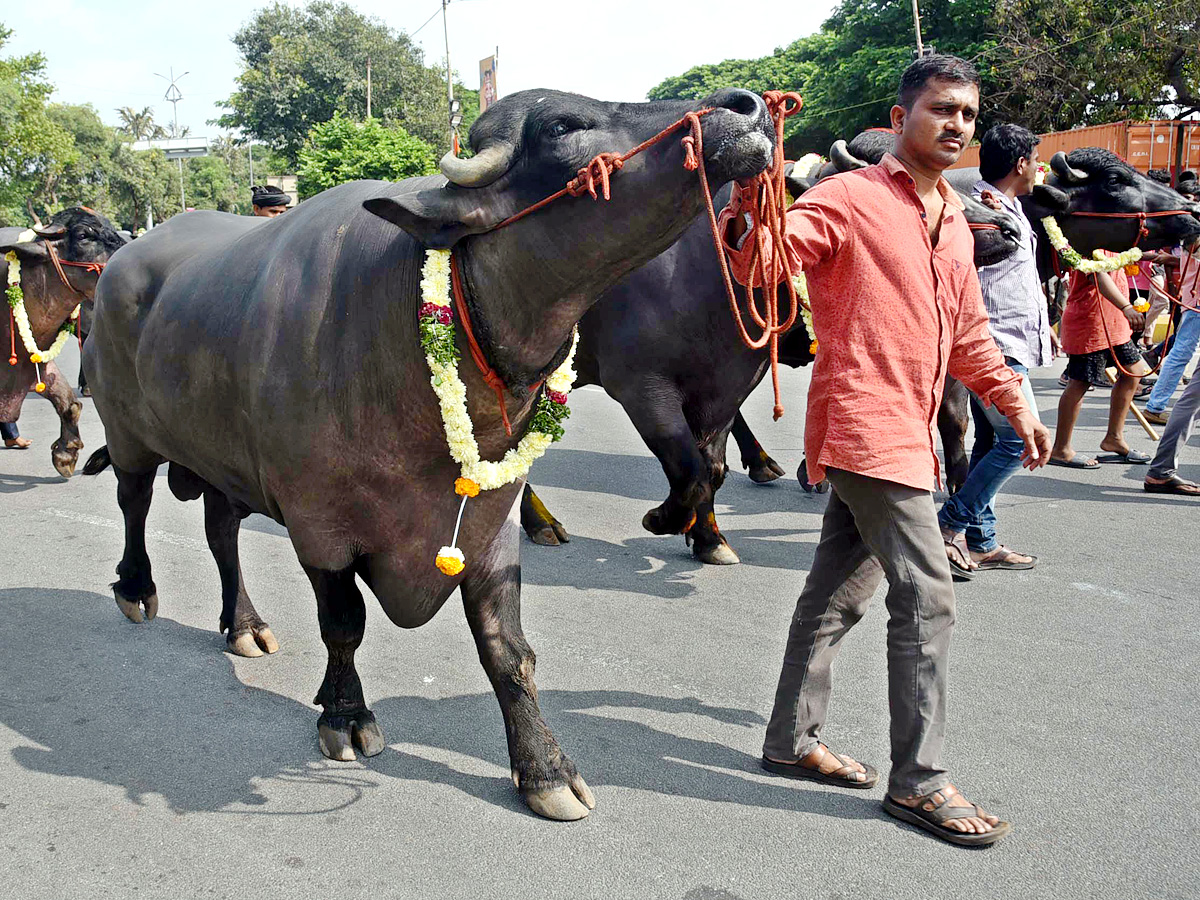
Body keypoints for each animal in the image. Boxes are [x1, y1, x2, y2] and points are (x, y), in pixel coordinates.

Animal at [79, 88, 772, 820]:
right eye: (562, 126)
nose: (743, 106)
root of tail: (122, 265)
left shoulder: (490, 525)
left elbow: (507, 647)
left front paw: (544, 767)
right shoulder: (320, 526)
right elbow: (343, 624)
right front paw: (344, 715)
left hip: (220, 458)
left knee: (220, 533)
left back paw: (243, 624)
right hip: (127, 433)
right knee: (133, 501)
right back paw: (136, 588)